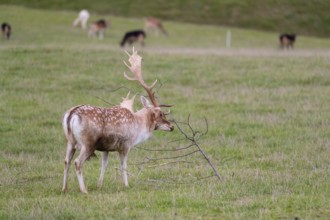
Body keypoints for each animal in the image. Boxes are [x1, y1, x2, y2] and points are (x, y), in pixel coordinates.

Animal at [62, 47, 175, 192]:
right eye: (160, 114)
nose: (171, 126)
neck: (138, 127)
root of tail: (72, 114)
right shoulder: (126, 144)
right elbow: (123, 165)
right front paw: (126, 185)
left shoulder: (106, 148)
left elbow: (104, 164)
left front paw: (99, 184)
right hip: (88, 143)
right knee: (78, 162)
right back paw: (84, 190)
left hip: (70, 141)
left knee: (66, 161)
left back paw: (64, 188)